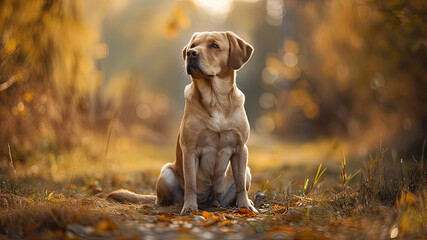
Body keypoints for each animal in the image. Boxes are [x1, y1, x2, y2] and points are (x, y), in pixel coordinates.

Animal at [110, 31, 258, 215]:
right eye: (193, 45)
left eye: (214, 45)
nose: (191, 53)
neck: (215, 100)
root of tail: (210, 200)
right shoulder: (190, 150)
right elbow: (191, 185)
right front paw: (189, 207)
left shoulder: (240, 149)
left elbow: (240, 185)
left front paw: (245, 205)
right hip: (166, 173)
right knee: (164, 198)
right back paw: (177, 203)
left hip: (247, 171)